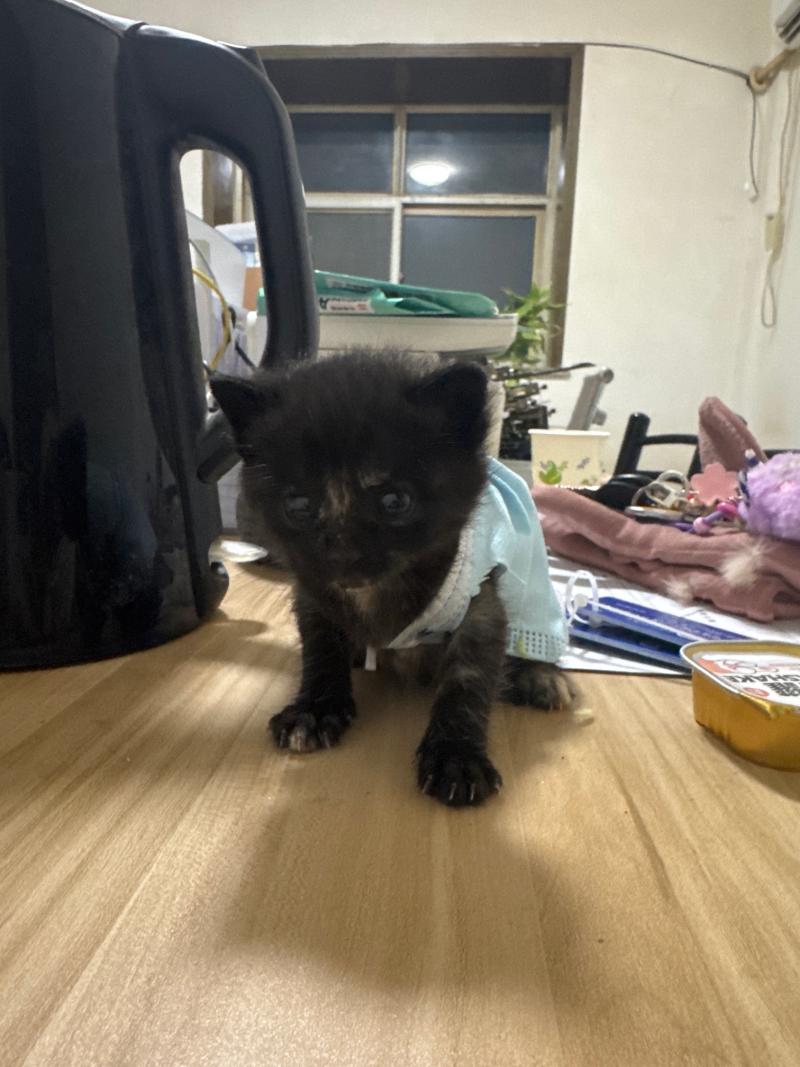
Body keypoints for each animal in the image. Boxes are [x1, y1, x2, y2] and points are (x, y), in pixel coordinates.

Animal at [210, 350, 575, 807]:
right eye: (298, 505)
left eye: (395, 501)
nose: (343, 558)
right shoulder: (313, 591)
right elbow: (320, 648)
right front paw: (315, 708)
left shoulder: (481, 601)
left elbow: (469, 676)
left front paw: (456, 756)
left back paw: (539, 675)